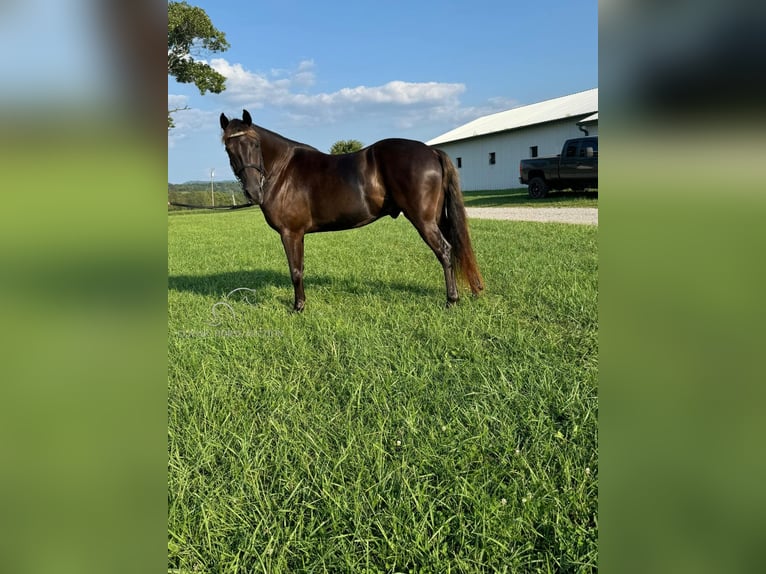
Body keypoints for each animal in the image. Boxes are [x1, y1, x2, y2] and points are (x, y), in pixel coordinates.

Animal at [219, 109, 484, 312]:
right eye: (229, 149)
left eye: (255, 144)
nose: (253, 192)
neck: (284, 170)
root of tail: (431, 151)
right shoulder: (297, 234)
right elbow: (299, 268)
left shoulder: (290, 233)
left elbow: (295, 270)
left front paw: (298, 307)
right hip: (437, 218)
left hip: (424, 220)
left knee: (445, 252)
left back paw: (451, 300)